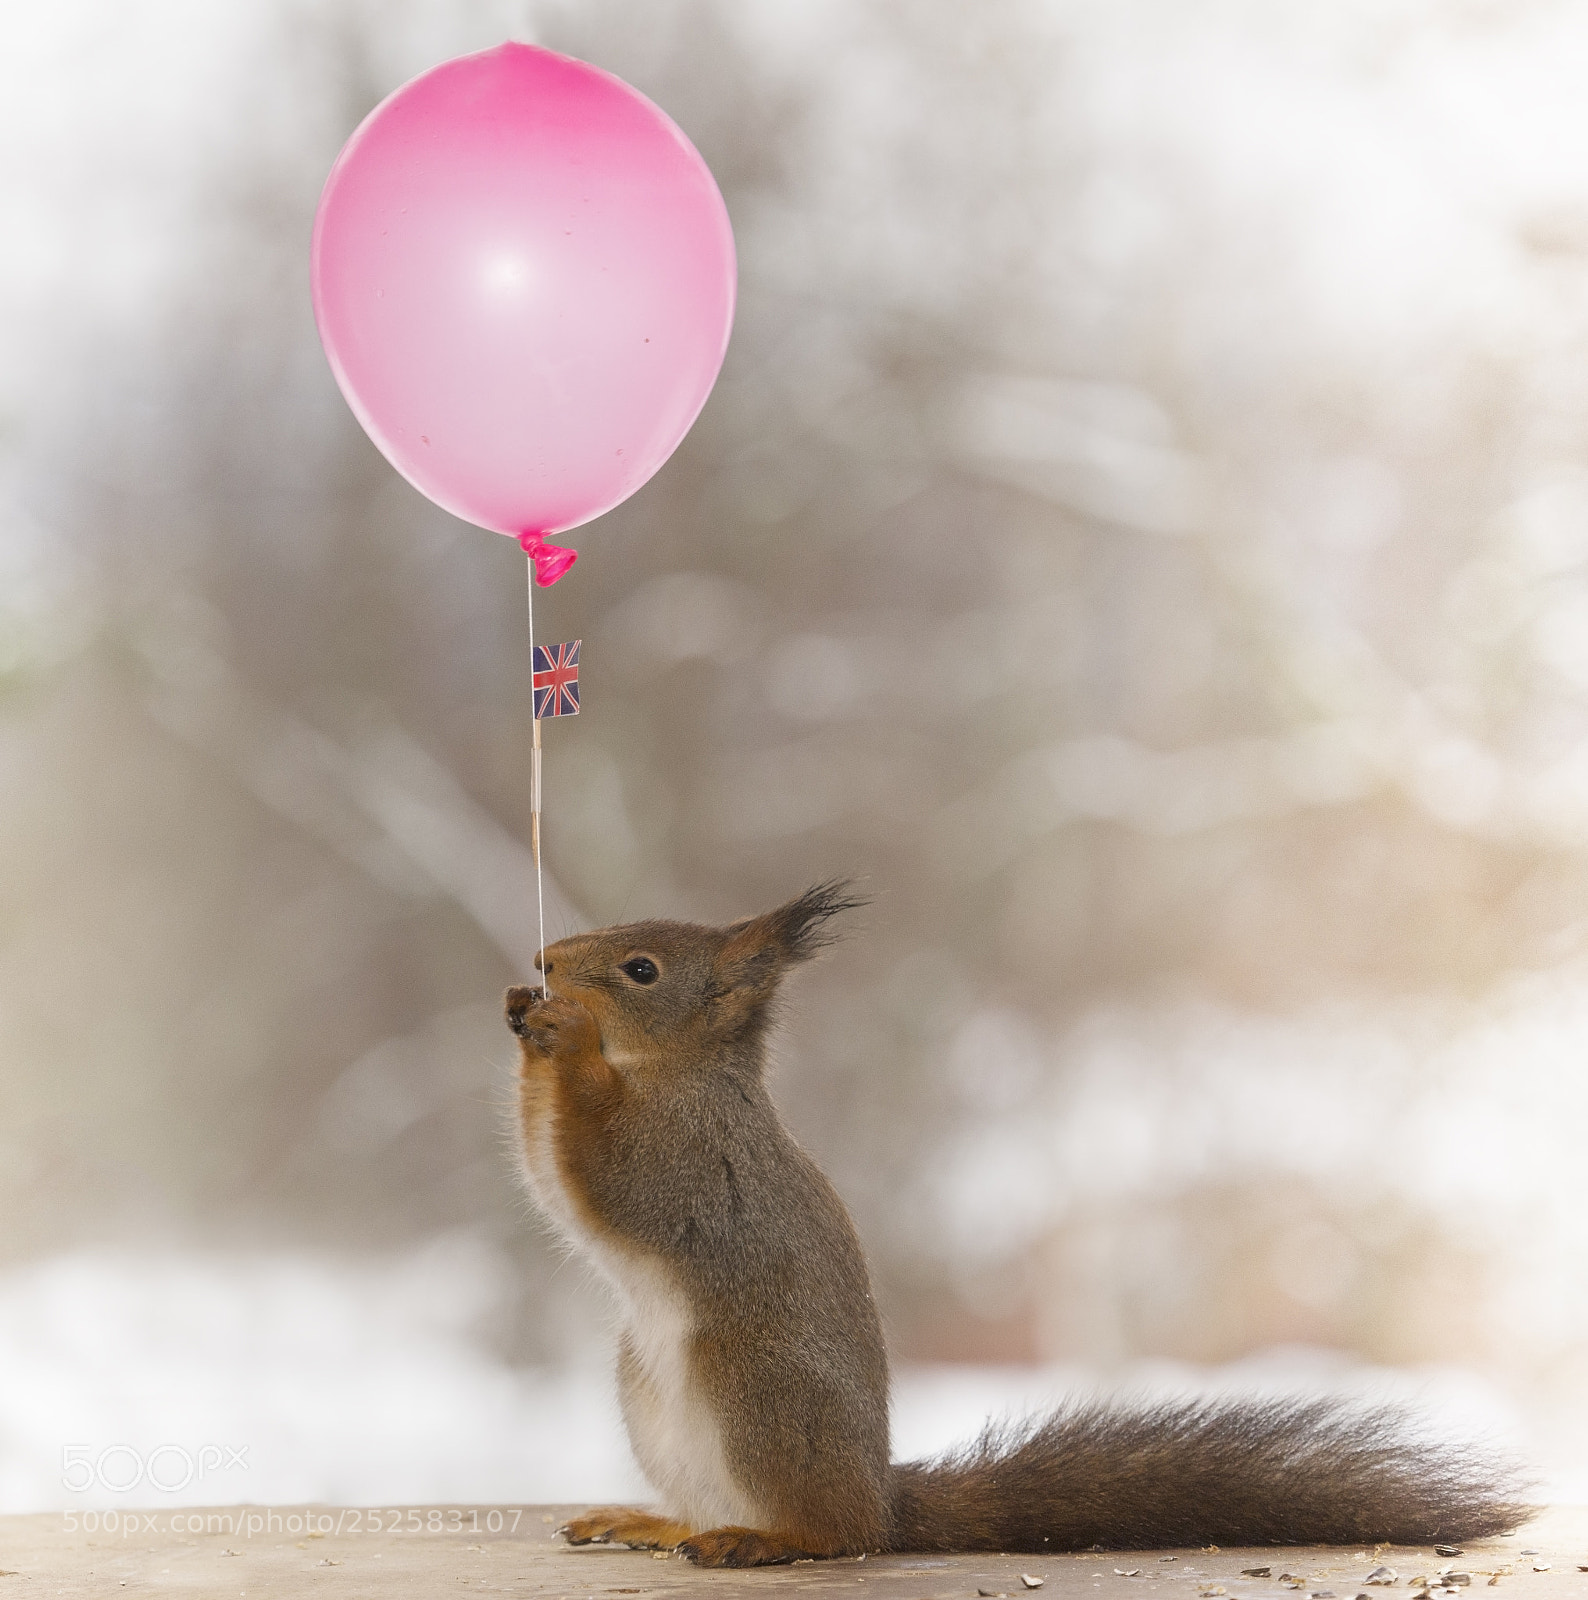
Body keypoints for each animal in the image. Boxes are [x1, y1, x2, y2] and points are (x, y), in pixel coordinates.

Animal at [503, 880, 1531, 1569]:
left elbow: (607, 1180)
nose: (544, 964)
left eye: (641, 969)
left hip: (754, 1384)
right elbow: (549, 1181)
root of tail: (882, 1498)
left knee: (835, 1535)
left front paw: (571, 1039)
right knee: (715, 1509)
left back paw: (766, 1540)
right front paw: (522, 1020)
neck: (678, 1074)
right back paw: (655, 1522)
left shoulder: (690, 1164)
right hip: (650, 1397)